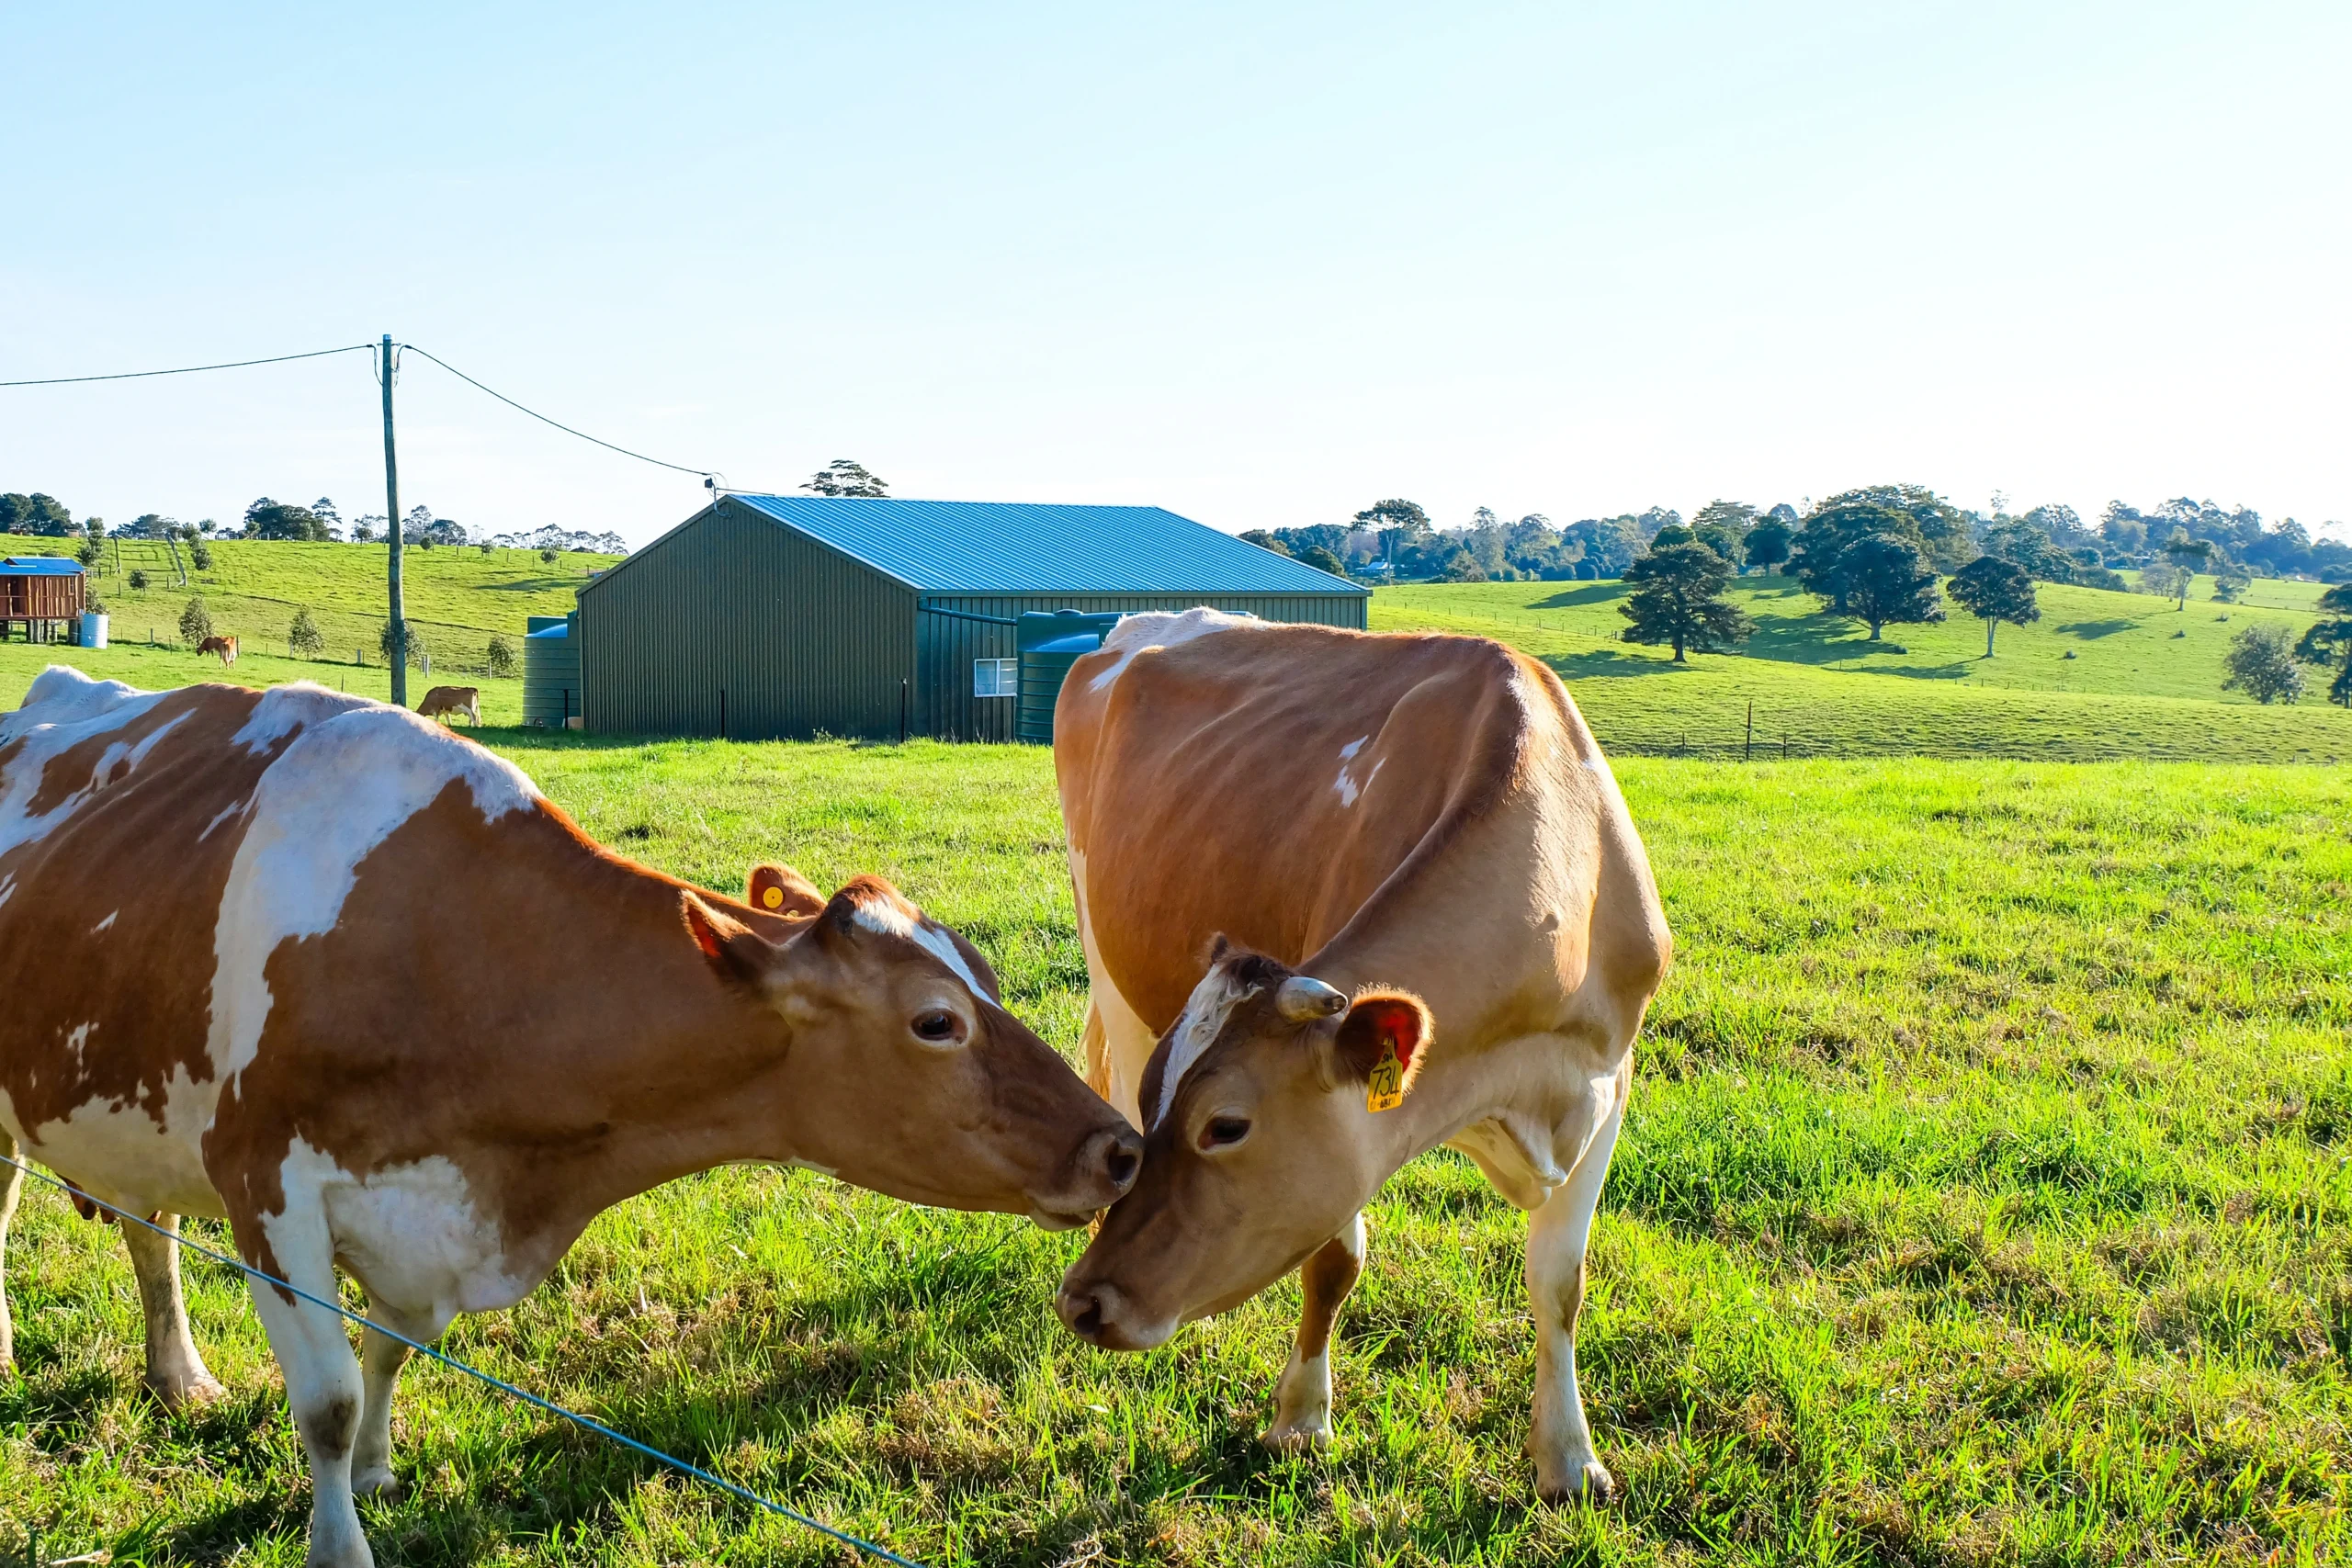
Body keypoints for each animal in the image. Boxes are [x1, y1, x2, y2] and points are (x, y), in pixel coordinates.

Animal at [0, 666, 1140, 1568]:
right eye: (936, 1021)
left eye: (986, 977)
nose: (1121, 1147)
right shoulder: (266, 1188)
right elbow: (323, 1403)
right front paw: (340, 1540)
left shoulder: (427, 1209)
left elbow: (389, 1353)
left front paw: (374, 1470)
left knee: (151, 1237)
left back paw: (179, 1376)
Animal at [1048, 610, 1670, 1504]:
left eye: (1226, 1125)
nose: (1084, 1303)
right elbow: (1335, 1262)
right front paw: (1300, 1418)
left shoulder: (1604, 1086)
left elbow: (1559, 1282)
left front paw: (1569, 1458)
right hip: (1104, 950)